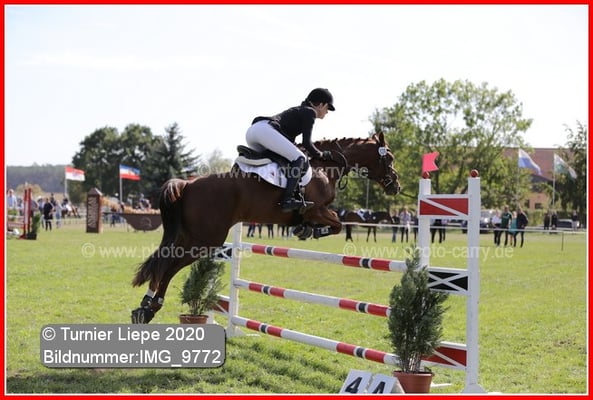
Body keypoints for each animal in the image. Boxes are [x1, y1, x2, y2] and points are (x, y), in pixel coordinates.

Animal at [130, 132, 400, 323]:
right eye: (388, 158)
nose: (395, 186)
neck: (326, 166)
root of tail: (187, 184)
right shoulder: (316, 209)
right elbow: (336, 223)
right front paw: (309, 230)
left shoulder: (315, 211)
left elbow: (335, 224)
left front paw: (304, 230)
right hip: (205, 240)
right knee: (168, 267)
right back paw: (150, 306)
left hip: (190, 236)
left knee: (163, 262)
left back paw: (145, 308)